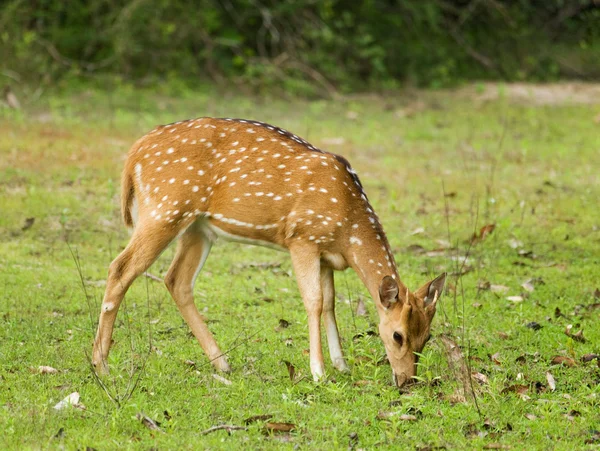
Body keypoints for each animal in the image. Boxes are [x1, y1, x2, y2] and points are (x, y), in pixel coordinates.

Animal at [91, 117, 442, 388]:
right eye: (397, 335)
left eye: (427, 337)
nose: (407, 380)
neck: (348, 227)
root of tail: (135, 151)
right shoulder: (302, 238)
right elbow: (314, 302)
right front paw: (318, 372)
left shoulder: (327, 255)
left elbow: (331, 303)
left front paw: (341, 365)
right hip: (165, 208)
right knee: (120, 268)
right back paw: (101, 365)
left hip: (197, 227)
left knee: (176, 280)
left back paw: (222, 363)